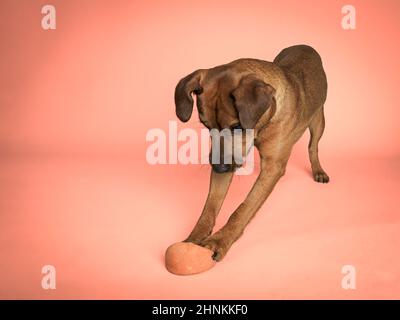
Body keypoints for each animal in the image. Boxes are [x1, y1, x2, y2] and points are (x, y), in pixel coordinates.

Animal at [174, 44, 328, 260]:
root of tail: (305, 45)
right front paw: (194, 238)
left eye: (237, 126)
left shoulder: (272, 168)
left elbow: (244, 207)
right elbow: (209, 207)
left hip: (318, 121)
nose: (219, 167)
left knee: (313, 147)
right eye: (206, 125)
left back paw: (318, 170)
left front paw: (220, 240)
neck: (263, 123)